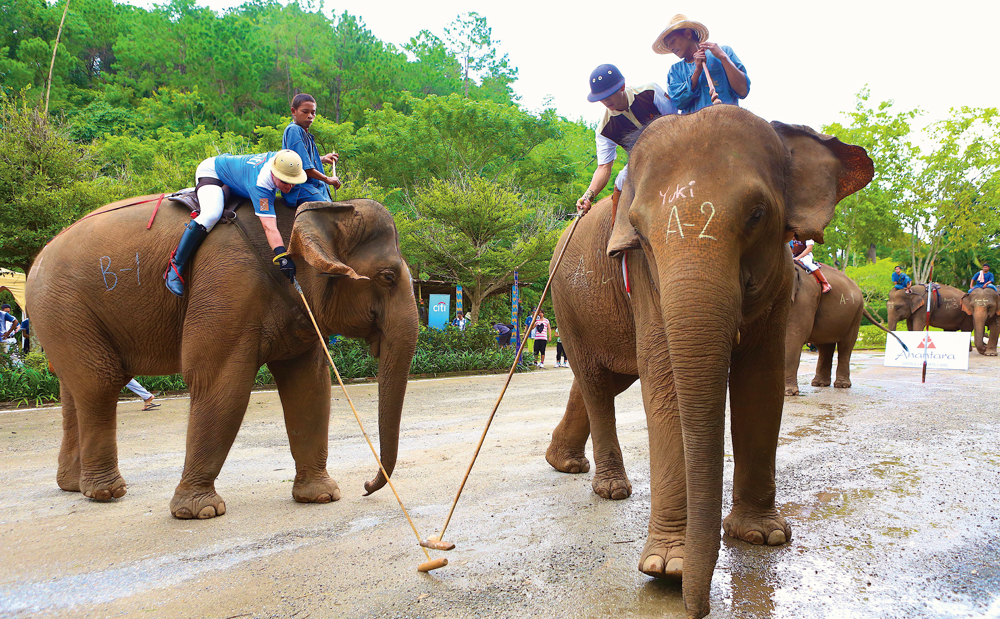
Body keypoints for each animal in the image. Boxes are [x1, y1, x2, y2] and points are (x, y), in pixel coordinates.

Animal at [27, 196, 417, 519]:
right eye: (387, 277)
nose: (366, 486)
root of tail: (38, 259)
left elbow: (308, 385)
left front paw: (321, 497)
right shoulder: (227, 283)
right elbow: (220, 382)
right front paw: (200, 512)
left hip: (63, 316)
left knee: (73, 391)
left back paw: (73, 487)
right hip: (62, 306)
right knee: (100, 384)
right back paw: (107, 492)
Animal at [545, 105, 873, 618]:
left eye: (758, 215)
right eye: (638, 232)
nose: (695, 608)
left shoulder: (783, 282)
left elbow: (759, 383)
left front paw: (763, 537)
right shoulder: (644, 277)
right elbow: (666, 384)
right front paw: (665, 567)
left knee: (601, 380)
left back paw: (564, 464)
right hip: (568, 305)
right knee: (596, 382)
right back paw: (609, 489)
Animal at [784, 263, 892, 395]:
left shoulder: (804, 299)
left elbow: (793, 337)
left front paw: (788, 393)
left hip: (855, 314)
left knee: (846, 346)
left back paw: (842, 385)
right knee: (825, 346)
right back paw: (820, 384)